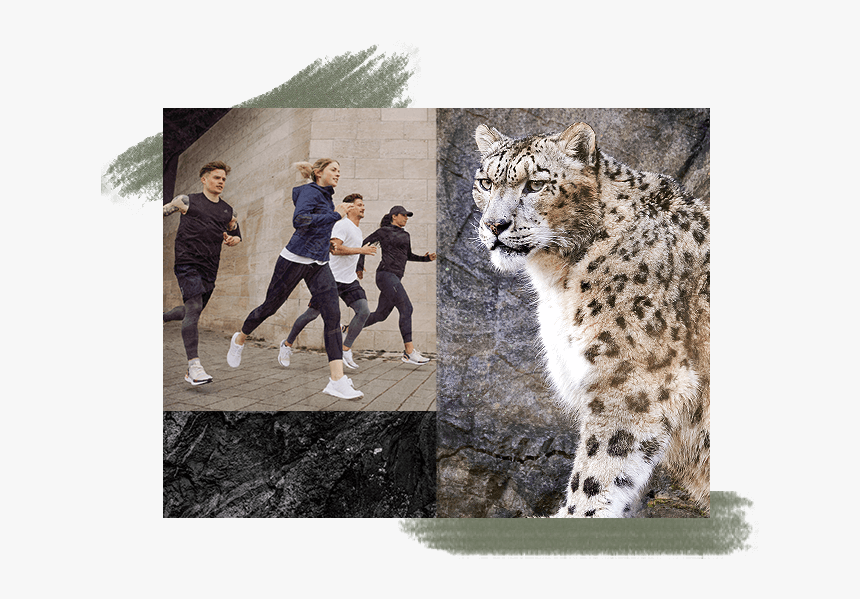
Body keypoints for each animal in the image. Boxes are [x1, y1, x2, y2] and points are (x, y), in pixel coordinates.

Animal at [472, 121, 709, 517]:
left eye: (535, 184)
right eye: (486, 182)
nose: (494, 225)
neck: (556, 280)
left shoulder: (628, 380)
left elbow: (599, 469)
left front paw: (577, 512)